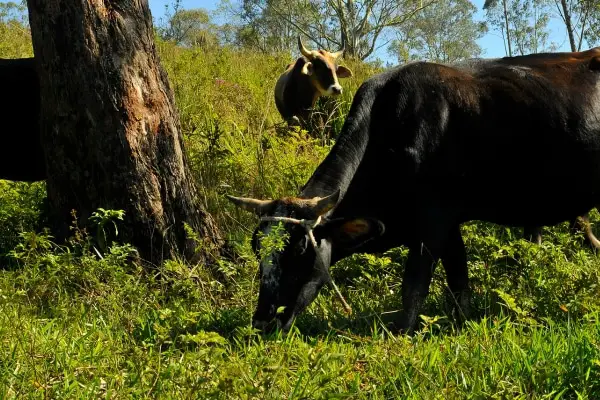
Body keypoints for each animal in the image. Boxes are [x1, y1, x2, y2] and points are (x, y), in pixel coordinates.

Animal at [227, 47, 600, 334]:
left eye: (301, 251)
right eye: (257, 248)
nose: (262, 322)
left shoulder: (433, 218)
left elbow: (415, 285)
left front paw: (402, 332)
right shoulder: (447, 223)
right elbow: (458, 281)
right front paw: (463, 323)